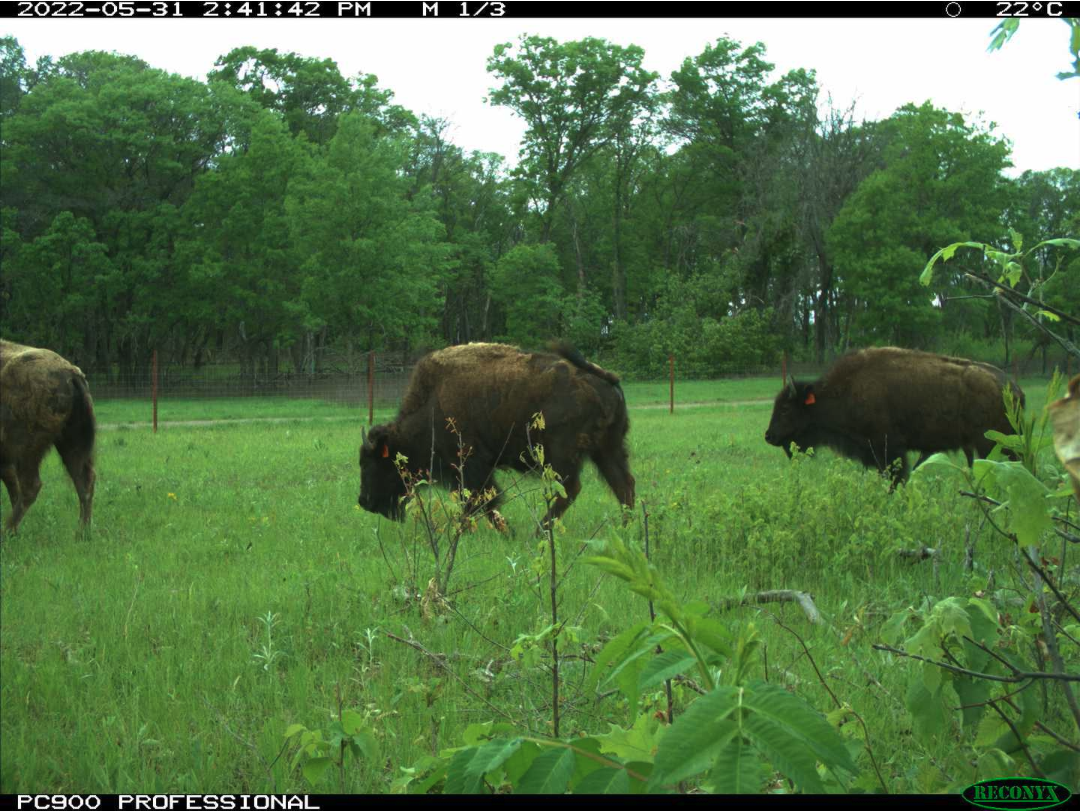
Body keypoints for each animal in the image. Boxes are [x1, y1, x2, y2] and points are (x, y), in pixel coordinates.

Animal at [0, 340, 97, 534]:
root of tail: (71, 373)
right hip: (69, 442)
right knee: (84, 480)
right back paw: (82, 532)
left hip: (27, 449)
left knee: (31, 486)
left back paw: (7, 531)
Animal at [358, 342, 635, 528]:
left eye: (372, 464)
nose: (364, 502)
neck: (432, 404)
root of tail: (605, 379)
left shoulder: (472, 467)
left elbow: (481, 501)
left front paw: (501, 531)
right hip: (607, 449)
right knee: (623, 484)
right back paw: (626, 527)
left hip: (560, 454)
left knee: (570, 488)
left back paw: (539, 531)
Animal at [764, 347, 1022, 486]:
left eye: (785, 409)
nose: (769, 436)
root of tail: (1012, 387)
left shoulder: (890, 450)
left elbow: (896, 479)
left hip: (992, 444)